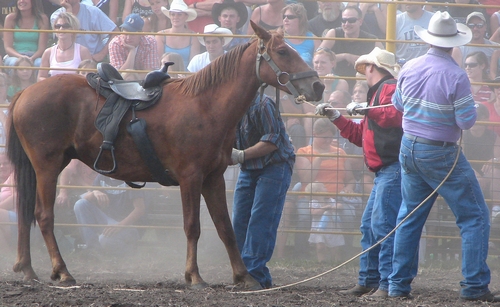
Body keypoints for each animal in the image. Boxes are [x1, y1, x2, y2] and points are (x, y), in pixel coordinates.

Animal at [6, 22, 324, 290]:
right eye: (282, 51)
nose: (318, 86)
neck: (205, 105)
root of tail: (25, 92)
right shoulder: (190, 178)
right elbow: (193, 226)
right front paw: (194, 276)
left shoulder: (213, 179)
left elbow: (226, 228)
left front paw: (243, 276)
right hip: (47, 166)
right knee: (44, 216)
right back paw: (62, 271)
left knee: (26, 213)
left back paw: (27, 269)